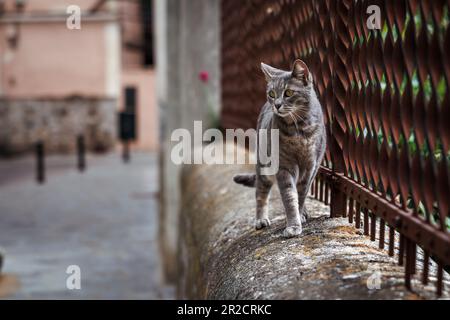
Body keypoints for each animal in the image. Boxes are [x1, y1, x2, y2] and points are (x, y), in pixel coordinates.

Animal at [234, 59, 326, 238]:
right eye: (272, 94)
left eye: (288, 92)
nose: (276, 105)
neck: (298, 130)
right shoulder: (283, 166)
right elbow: (289, 197)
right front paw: (293, 225)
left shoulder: (310, 167)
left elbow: (301, 194)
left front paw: (300, 215)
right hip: (263, 167)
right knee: (260, 193)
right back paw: (260, 220)